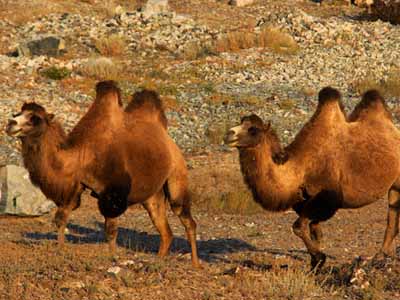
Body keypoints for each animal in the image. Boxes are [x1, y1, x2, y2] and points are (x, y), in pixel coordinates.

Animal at [6, 82, 200, 268]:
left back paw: (195, 263)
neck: (82, 155)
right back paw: (159, 260)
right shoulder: (75, 187)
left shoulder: (113, 194)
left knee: (186, 218)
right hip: (152, 195)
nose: (10, 123)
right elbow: (61, 218)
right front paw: (60, 249)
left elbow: (111, 230)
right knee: (165, 230)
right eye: (18, 113)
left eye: (35, 118)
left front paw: (113, 258)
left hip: (176, 175)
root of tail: (167, 138)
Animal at [225, 87, 400, 270]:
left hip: (398, 181)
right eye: (240, 122)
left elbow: (298, 227)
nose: (229, 134)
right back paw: (381, 256)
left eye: (253, 129)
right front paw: (315, 263)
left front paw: (319, 258)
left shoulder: (327, 199)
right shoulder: (303, 202)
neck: (300, 169)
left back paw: (379, 257)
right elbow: (315, 232)